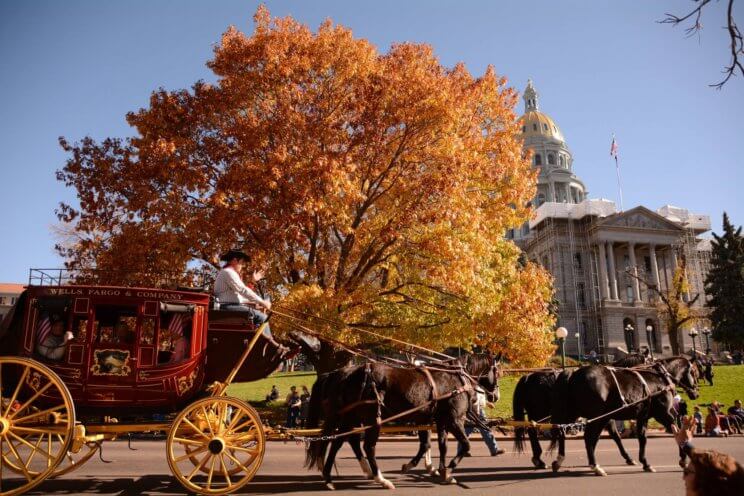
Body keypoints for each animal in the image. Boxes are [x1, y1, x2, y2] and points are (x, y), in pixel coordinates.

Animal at [548, 356, 700, 476]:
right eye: (694, 371)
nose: (696, 393)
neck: (660, 378)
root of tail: (573, 374)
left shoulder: (642, 417)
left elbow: (642, 438)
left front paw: (645, 463)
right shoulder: (663, 414)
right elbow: (676, 431)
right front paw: (683, 458)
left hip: (577, 414)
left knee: (563, 432)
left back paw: (560, 460)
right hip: (597, 417)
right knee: (588, 437)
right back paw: (595, 465)